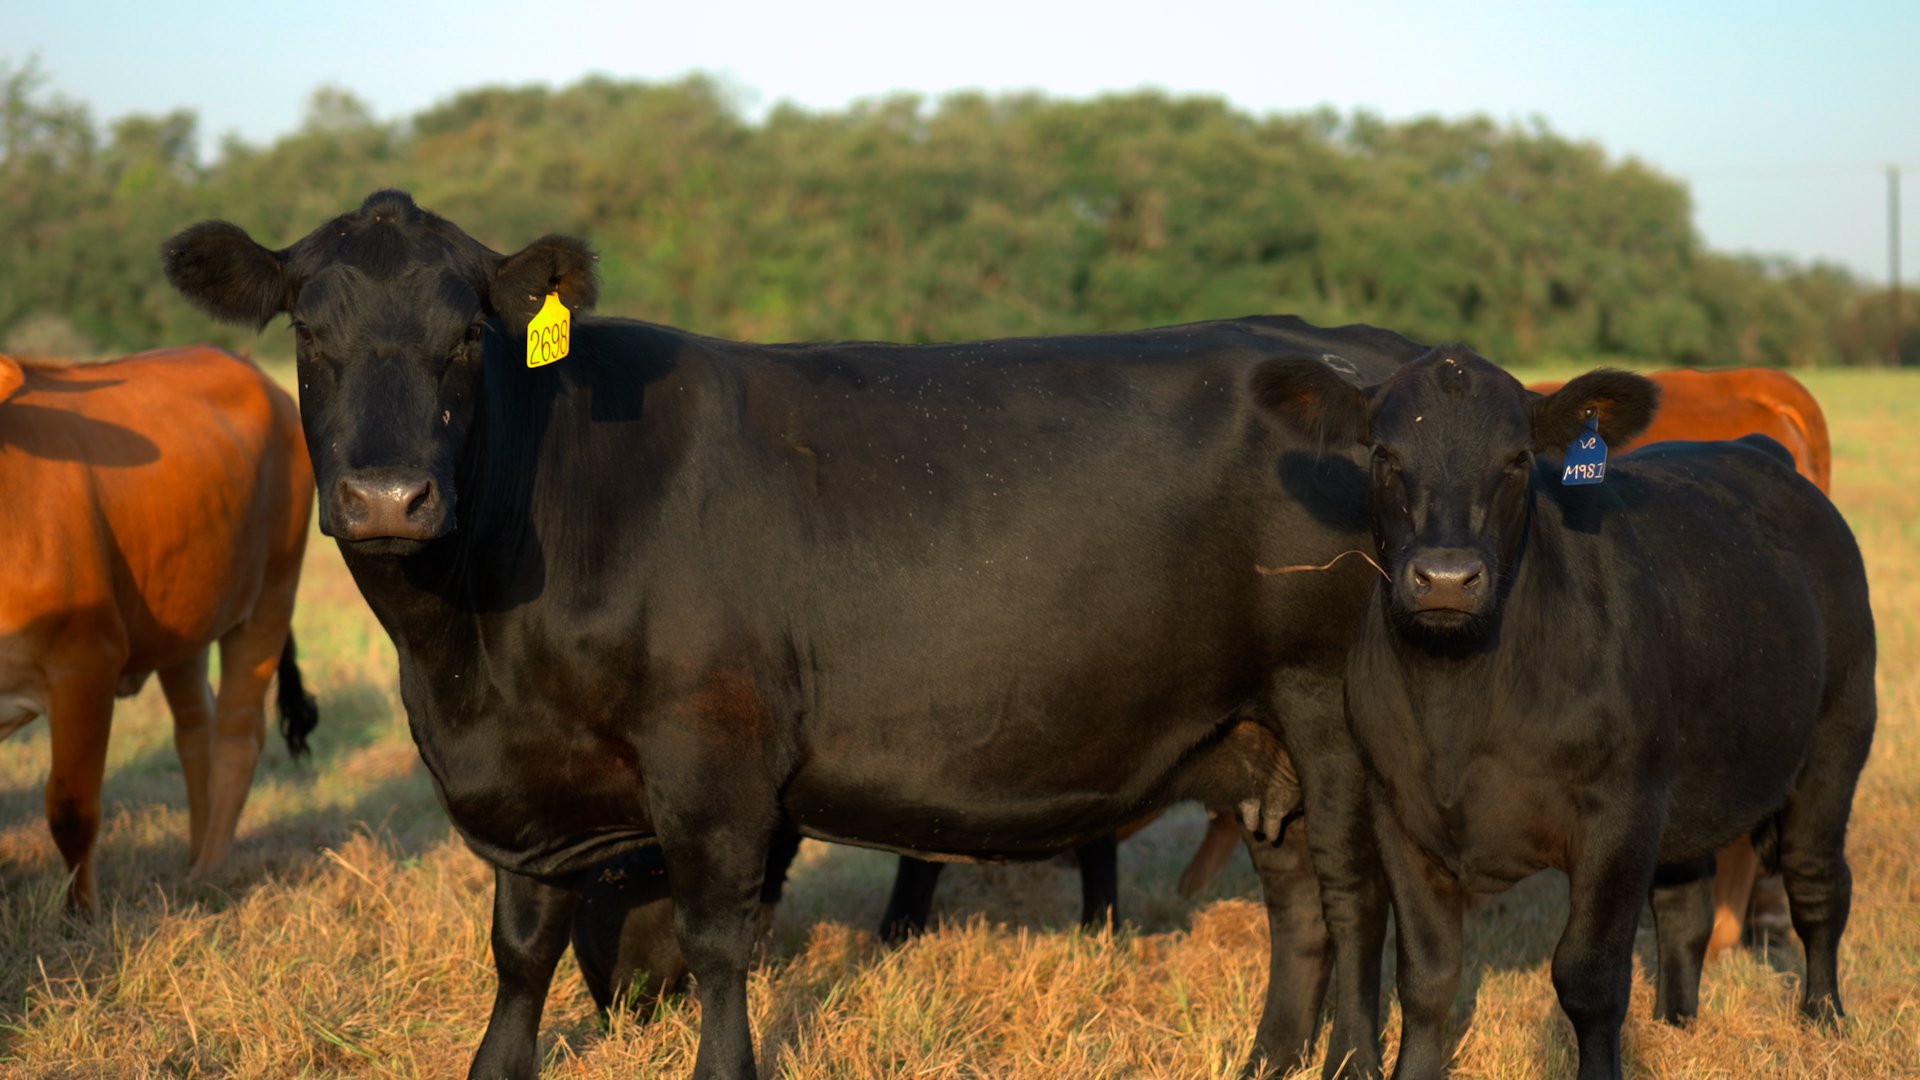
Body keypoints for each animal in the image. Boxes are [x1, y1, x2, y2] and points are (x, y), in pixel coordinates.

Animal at [0, 345, 317, 910]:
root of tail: (247, 364)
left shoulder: (86, 662)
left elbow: (71, 809)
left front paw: (80, 915)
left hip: (270, 597)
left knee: (237, 733)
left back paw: (208, 872)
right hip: (185, 617)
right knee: (195, 728)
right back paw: (194, 851)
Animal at [161, 189, 1424, 1080]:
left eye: (469, 334)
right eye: (308, 331)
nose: (388, 497)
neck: (468, 658)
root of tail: (1374, 354)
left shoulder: (712, 756)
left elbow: (721, 940)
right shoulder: (523, 786)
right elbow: (522, 951)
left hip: (1332, 713)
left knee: (1355, 896)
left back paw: (1348, 1065)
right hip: (1257, 733)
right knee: (1298, 902)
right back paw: (1267, 1063)